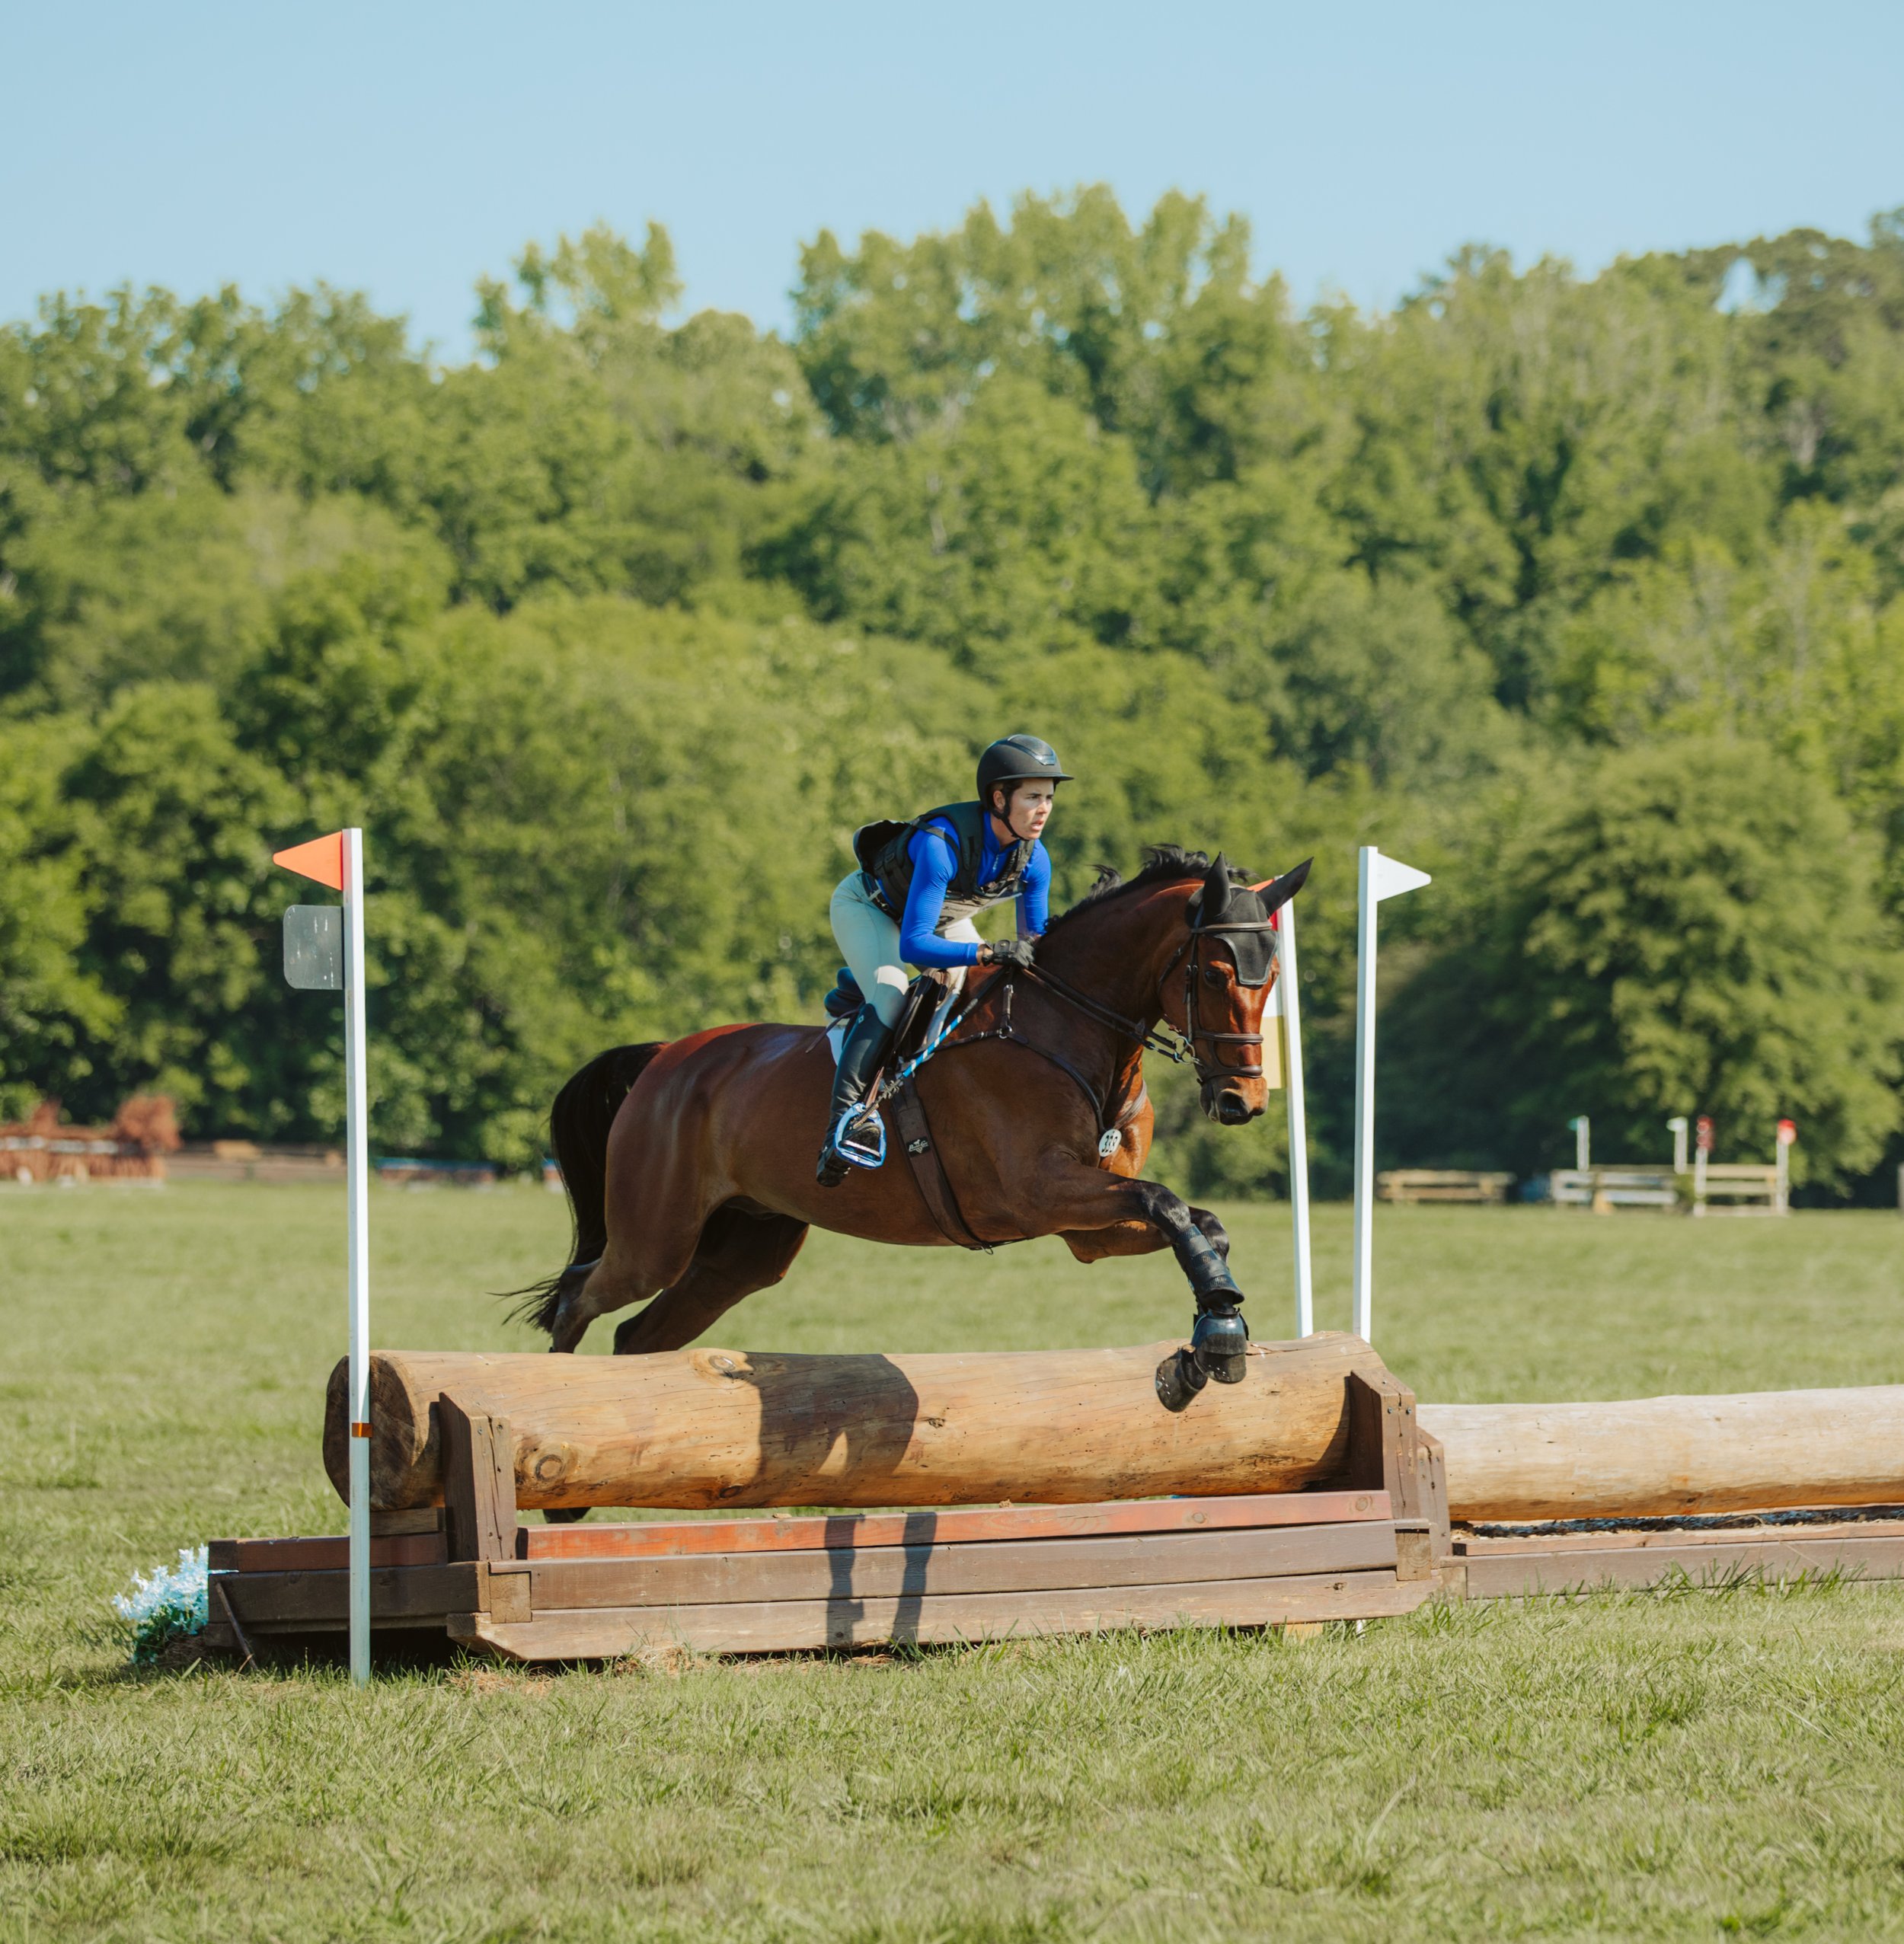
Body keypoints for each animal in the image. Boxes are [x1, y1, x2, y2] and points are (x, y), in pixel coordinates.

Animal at [519, 846, 1311, 1429]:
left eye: (1271, 974)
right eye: (1216, 972)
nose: (1242, 1101)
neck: (1071, 1025)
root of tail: (662, 1058)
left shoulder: (1086, 1225)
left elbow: (1194, 1218)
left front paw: (1202, 1348)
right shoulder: (1038, 1192)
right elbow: (1167, 1203)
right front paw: (1216, 1331)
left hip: (739, 1254)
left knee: (636, 1337)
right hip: (656, 1237)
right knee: (579, 1298)